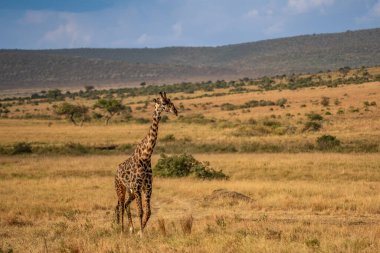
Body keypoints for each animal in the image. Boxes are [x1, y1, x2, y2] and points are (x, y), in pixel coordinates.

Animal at [114, 91, 178, 235]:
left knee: (125, 204)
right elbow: (141, 211)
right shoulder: (138, 187)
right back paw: (121, 230)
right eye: (163, 103)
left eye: (171, 102)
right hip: (120, 187)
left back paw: (131, 229)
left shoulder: (148, 186)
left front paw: (139, 231)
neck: (145, 156)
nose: (175, 111)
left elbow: (148, 211)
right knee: (120, 206)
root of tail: (116, 171)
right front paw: (141, 233)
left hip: (130, 191)